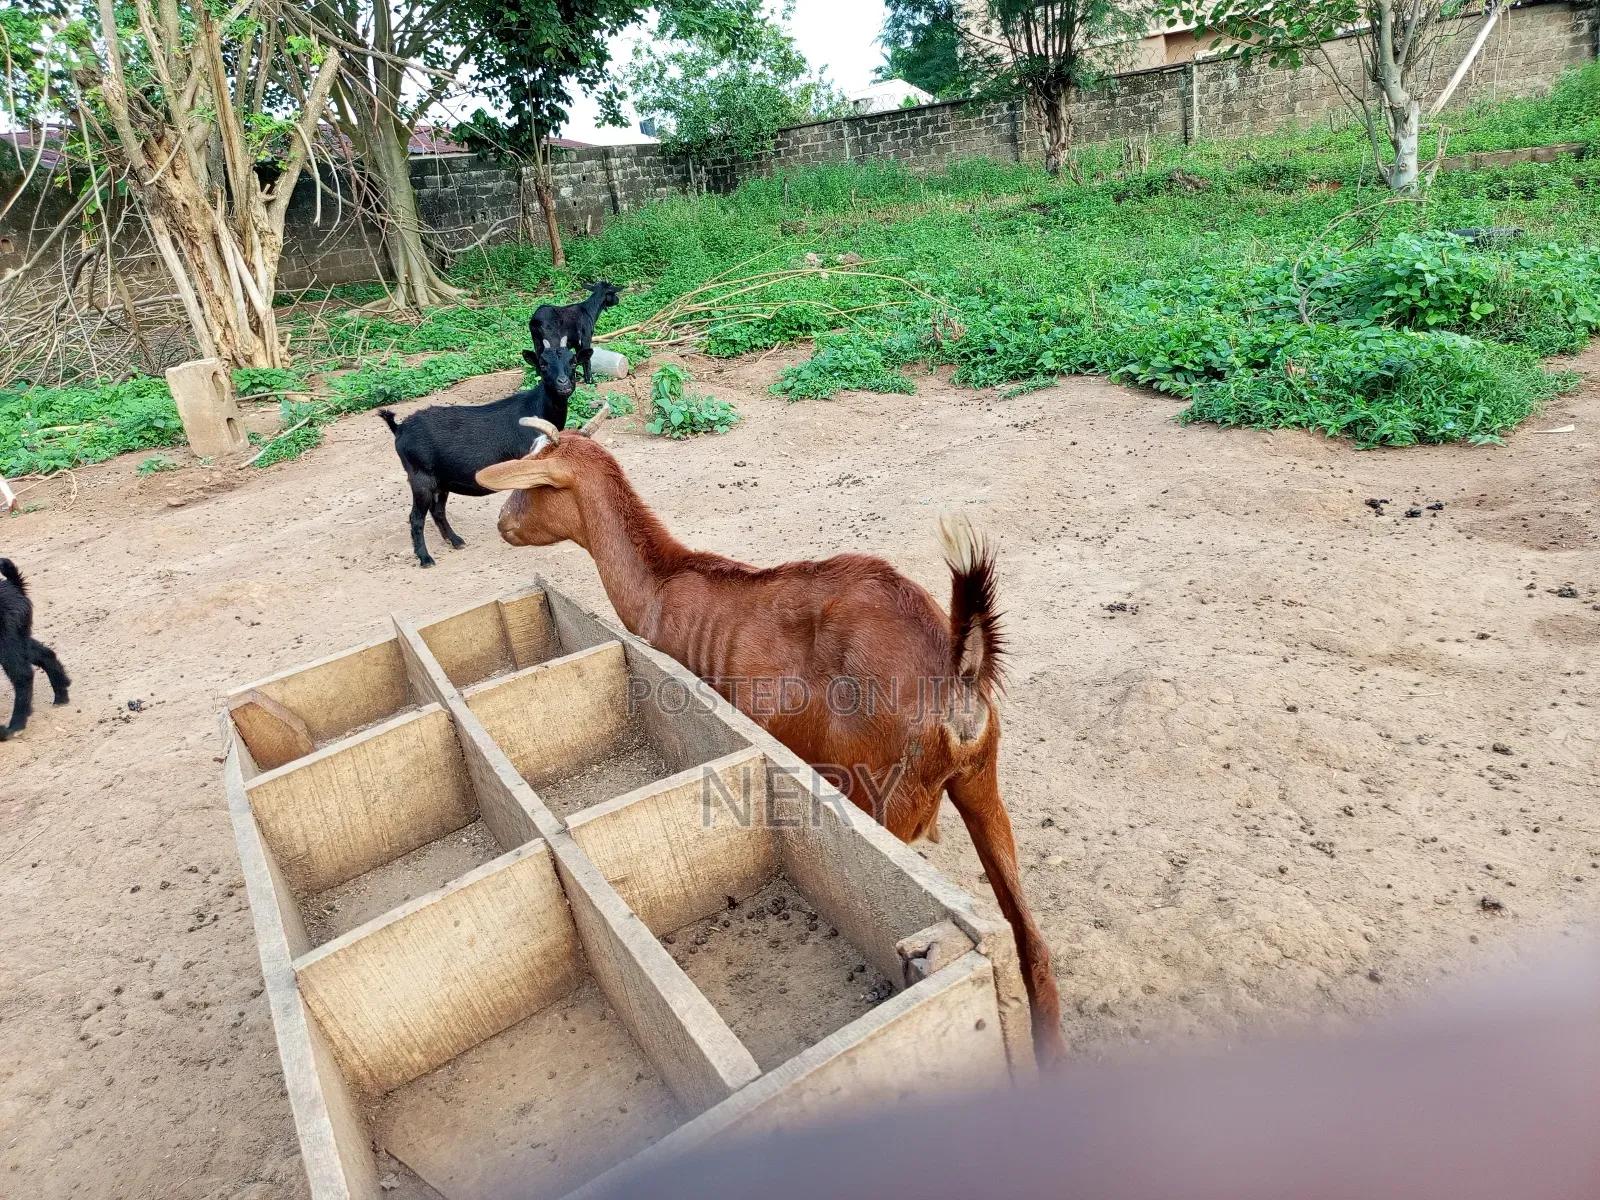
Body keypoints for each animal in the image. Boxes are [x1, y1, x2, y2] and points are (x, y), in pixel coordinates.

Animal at [0, 558, 71, 741]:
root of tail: (14, 586)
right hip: (19, 637)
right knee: (45, 654)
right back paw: (61, 694)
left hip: (7, 643)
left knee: (23, 675)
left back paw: (15, 726)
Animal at [379, 339, 576, 566]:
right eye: (542, 365)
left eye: (573, 361)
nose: (564, 385)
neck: (537, 409)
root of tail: (399, 428)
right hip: (420, 477)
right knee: (416, 517)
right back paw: (425, 558)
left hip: (441, 480)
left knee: (437, 511)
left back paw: (456, 541)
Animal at [477, 413, 1067, 1067]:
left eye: (535, 484)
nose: (502, 524)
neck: (660, 584)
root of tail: (957, 671)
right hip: (980, 777)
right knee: (1033, 943)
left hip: (879, 790)